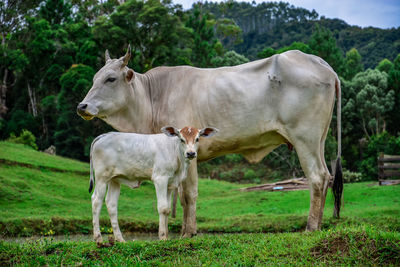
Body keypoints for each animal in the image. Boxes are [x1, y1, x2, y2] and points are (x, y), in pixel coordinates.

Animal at [89, 126, 219, 243]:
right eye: (181, 139)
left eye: (197, 139)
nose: (191, 153)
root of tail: (104, 136)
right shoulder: (160, 179)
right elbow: (162, 207)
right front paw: (162, 236)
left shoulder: (170, 184)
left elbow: (167, 209)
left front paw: (166, 236)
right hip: (101, 178)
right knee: (96, 201)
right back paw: (98, 238)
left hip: (114, 179)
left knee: (111, 204)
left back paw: (120, 239)